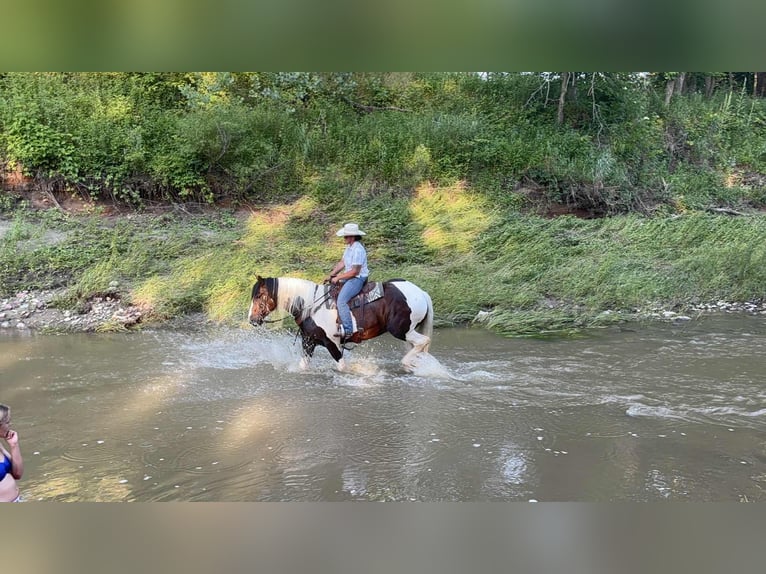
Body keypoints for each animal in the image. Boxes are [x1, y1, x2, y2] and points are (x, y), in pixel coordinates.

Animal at [248, 276, 433, 371]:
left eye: (259, 295)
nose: (251, 319)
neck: (310, 305)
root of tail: (421, 293)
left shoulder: (332, 343)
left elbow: (342, 367)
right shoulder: (309, 342)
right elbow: (303, 366)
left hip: (401, 330)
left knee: (424, 341)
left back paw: (408, 363)